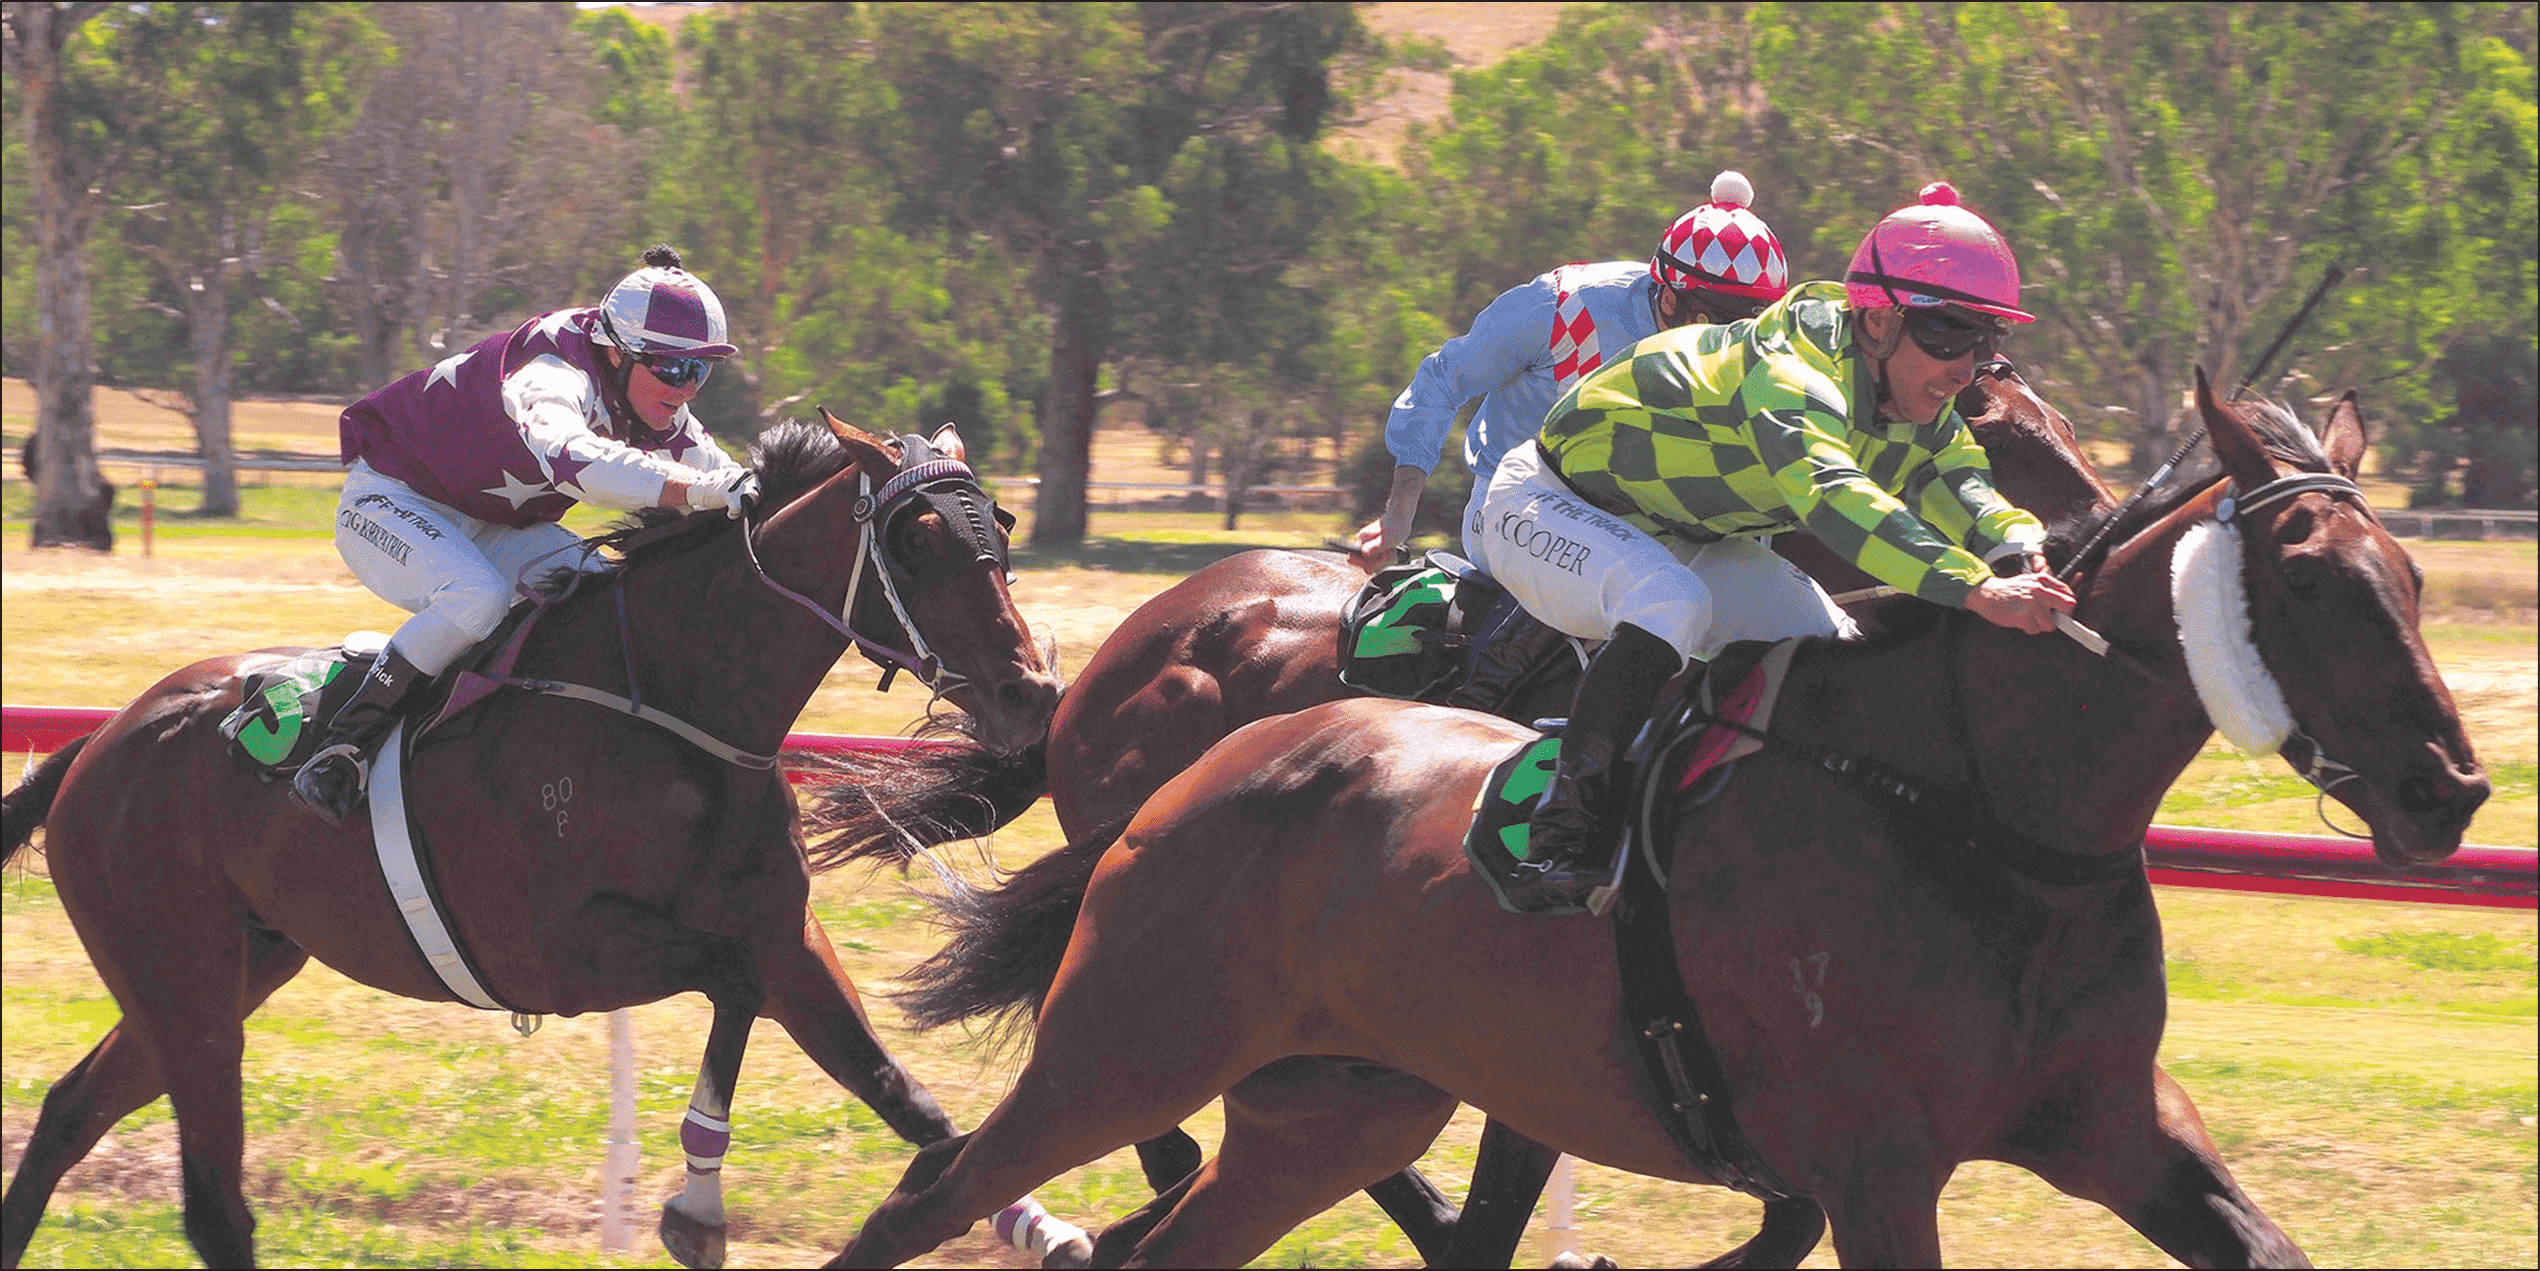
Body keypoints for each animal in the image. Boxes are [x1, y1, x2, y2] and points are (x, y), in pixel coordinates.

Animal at [0, 411, 1066, 1265]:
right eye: (916, 537)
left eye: (1001, 526)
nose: (1032, 692)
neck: (676, 706)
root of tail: (100, 740)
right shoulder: (561, 955)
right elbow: (732, 986)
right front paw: (696, 1207)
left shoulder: (784, 933)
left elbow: (904, 1097)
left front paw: (1037, 1222)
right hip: (182, 977)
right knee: (215, 1207)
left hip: (231, 966)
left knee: (68, 1111)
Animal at [828, 371, 2479, 1265]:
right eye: (2313, 579)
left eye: (2406, 570)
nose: (2448, 787)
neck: (1983, 814)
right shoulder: (1875, 1161)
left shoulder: (2113, 1121)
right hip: (1135, 1040)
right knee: (944, 1185)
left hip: (1337, 1099)